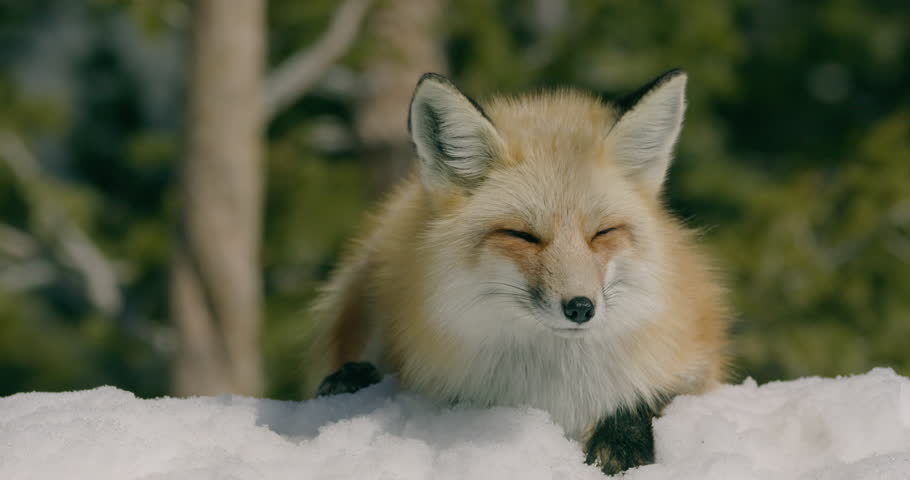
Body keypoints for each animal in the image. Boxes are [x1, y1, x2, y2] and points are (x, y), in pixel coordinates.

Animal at [308, 69, 730, 475]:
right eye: (523, 235)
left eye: (602, 233)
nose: (581, 308)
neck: (552, 386)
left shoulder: (697, 366)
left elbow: (646, 399)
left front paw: (621, 444)